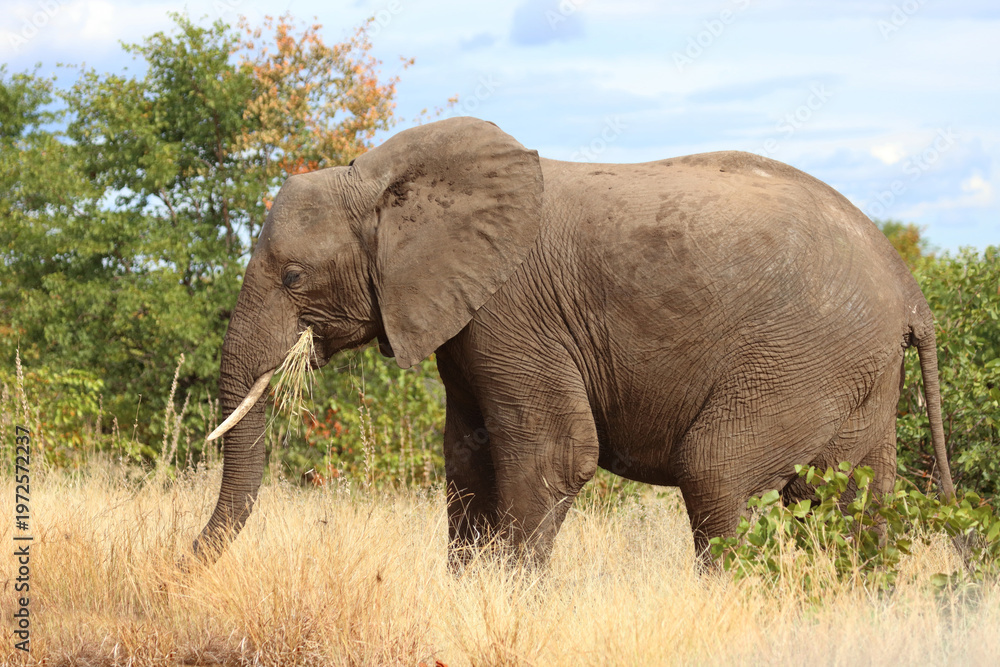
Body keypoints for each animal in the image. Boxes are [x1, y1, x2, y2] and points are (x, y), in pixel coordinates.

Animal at [194, 116, 955, 568]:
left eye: (294, 275)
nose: (181, 562)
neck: (382, 179)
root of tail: (908, 282)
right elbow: (467, 457)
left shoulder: (514, 310)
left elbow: (555, 454)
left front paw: (510, 599)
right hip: (855, 371)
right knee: (858, 499)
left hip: (804, 356)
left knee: (717, 469)